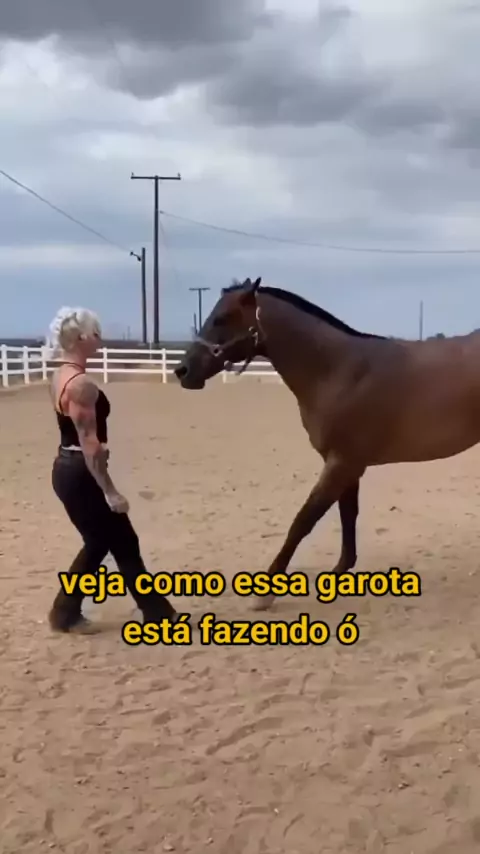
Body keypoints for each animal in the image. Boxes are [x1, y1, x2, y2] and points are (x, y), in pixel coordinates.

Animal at [174, 276, 480, 611]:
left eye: (223, 318)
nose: (182, 371)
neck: (339, 371)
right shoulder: (345, 464)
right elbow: (347, 515)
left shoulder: (342, 464)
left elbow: (303, 521)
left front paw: (264, 592)